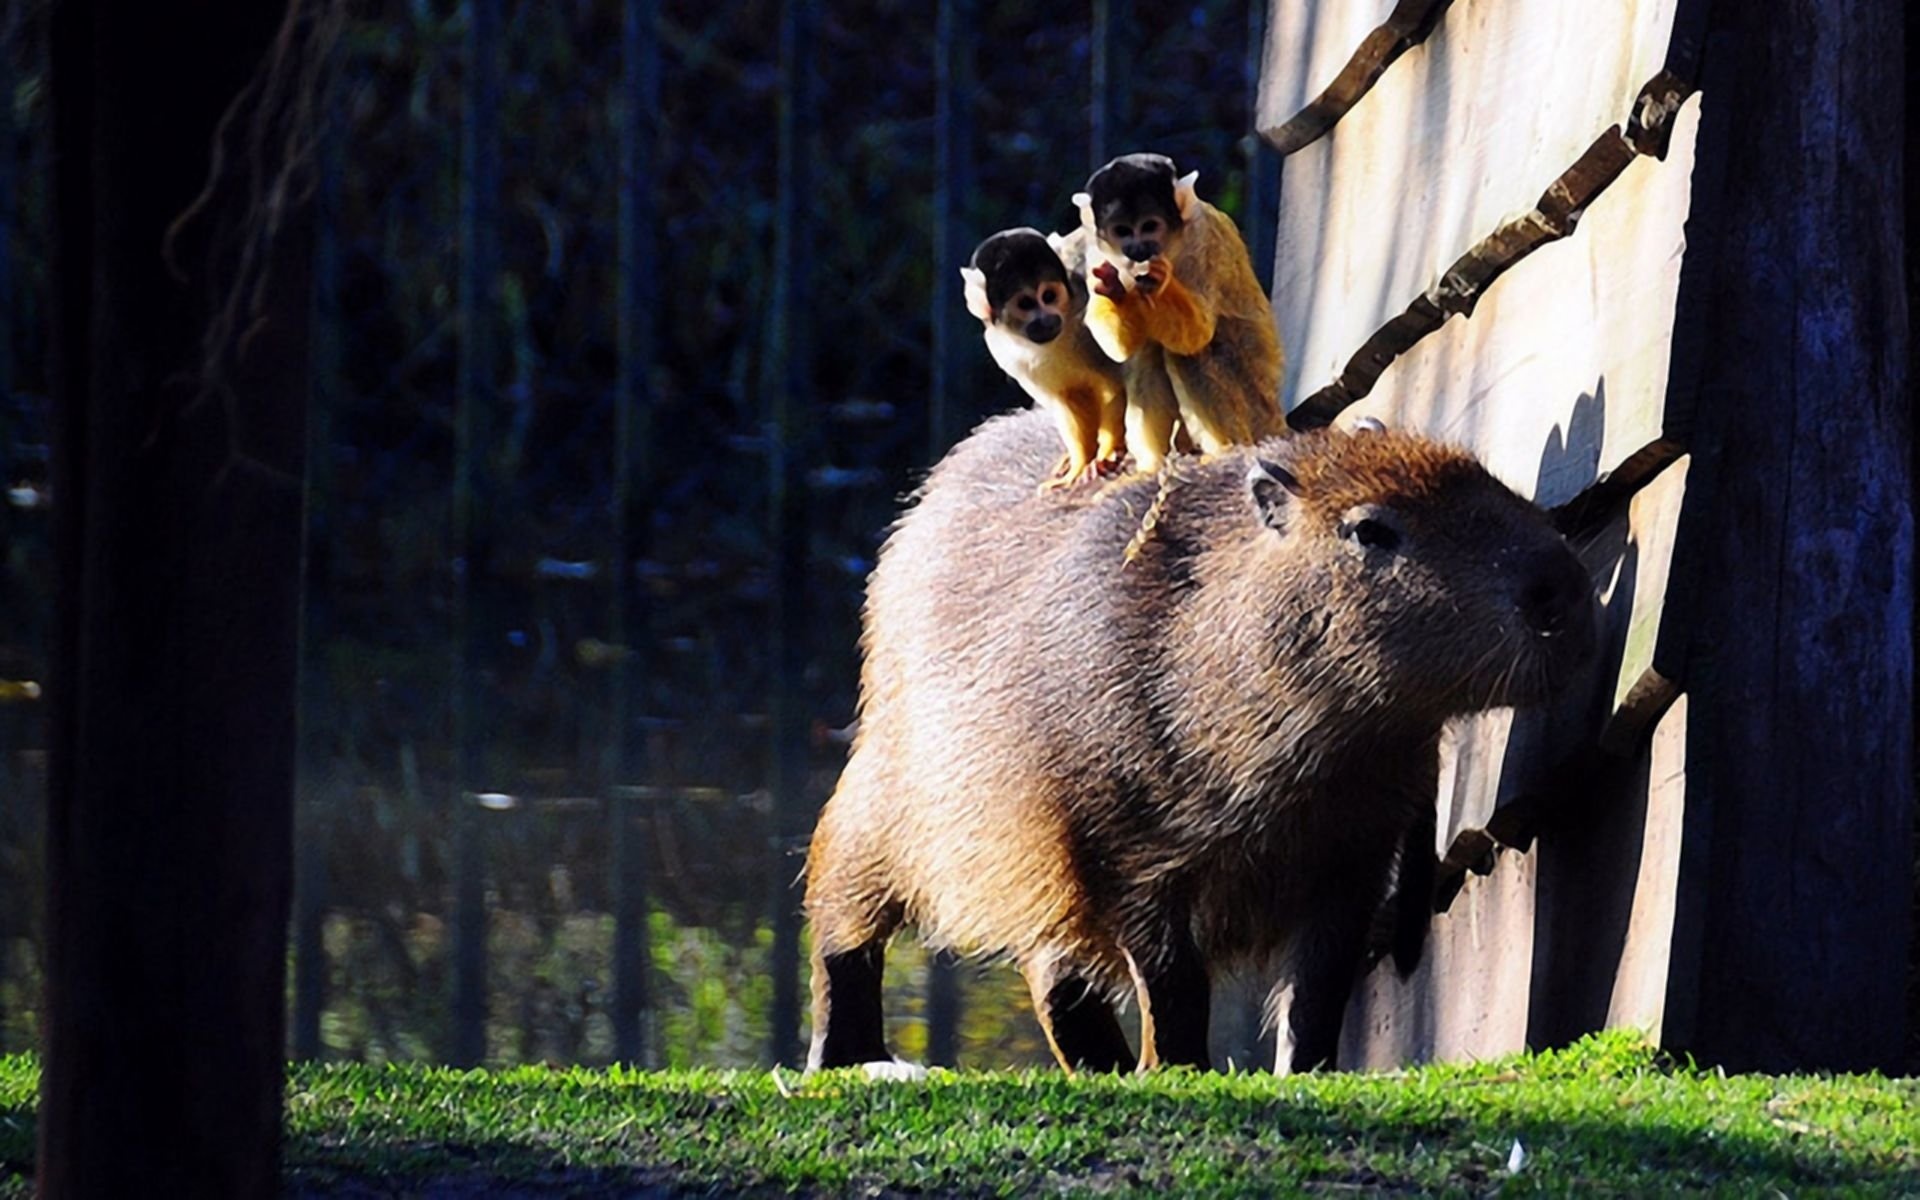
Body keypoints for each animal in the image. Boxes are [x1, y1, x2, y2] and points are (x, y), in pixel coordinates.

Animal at [960, 226, 1121, 489]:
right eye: (1025, 303)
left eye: (1049, 296)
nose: (1048, 320)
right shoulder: (1006, 354)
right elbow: (1066, 401)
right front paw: (1079, 466)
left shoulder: (1087, 315)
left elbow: (1114, 384)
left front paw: (1107, 453)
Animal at [1075, 158, 1282, 472]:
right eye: (1123, 231)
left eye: (1150, 226)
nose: (1138, 249)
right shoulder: (1097, 251)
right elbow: (1119, 348)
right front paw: (1116, 292)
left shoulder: (1204, 238)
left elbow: (1198, 335)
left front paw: (1161, 282)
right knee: (1148, 348)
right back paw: (1152, 463)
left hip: (1260, 413)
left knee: (1190, 353)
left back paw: (1227, 449)